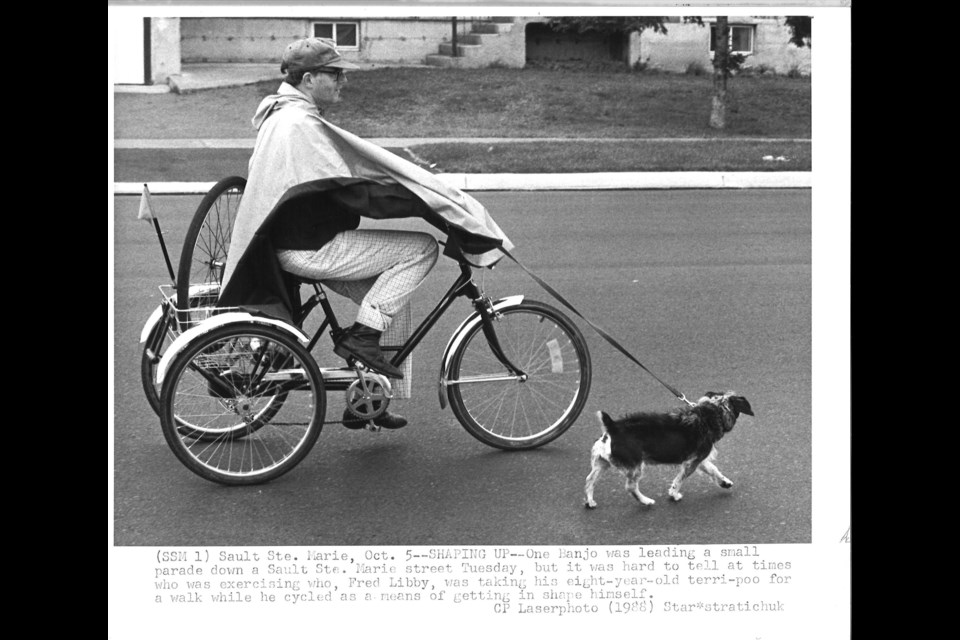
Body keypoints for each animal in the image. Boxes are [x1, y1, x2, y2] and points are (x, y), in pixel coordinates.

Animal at [580, 390, 752, 510]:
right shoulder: (691, 462)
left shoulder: (699, 459)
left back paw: (590, 501)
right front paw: (674, 494)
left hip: (602, 464)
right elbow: (679, 480)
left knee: (589, 480)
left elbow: (713, 470)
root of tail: (613, 427)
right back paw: (646, 501)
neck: (710, 414)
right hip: (636, 466)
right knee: (630, 487)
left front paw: (724, 482)